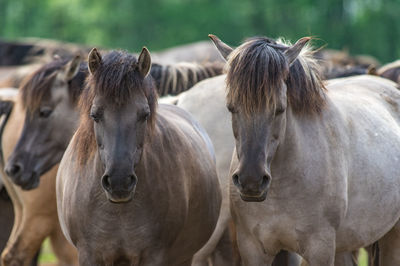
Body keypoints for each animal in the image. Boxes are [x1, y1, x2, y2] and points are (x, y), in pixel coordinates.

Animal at [55, 48, 222, 264]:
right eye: (95, 115)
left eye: (144, 114)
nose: (119, 182)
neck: (119, 211)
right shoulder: (89, 255)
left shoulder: (154, 256)